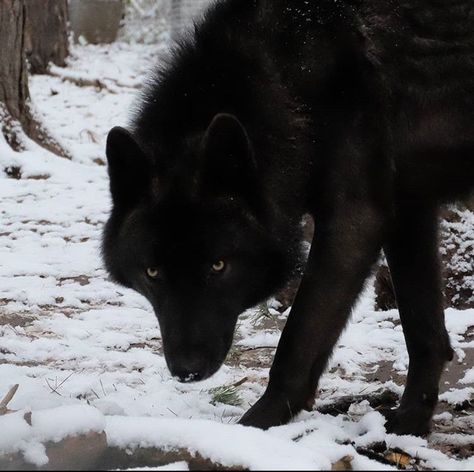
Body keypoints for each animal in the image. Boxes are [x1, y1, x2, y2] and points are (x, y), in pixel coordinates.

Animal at [103, 0, 474, 436]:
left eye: (219, 265)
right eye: (153, 272)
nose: (187, 370)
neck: (289, 75)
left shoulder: (356, 219)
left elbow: (297, 340)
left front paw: (255, 428)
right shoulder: (408, 209)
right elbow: (424, 333)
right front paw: (410, 423)